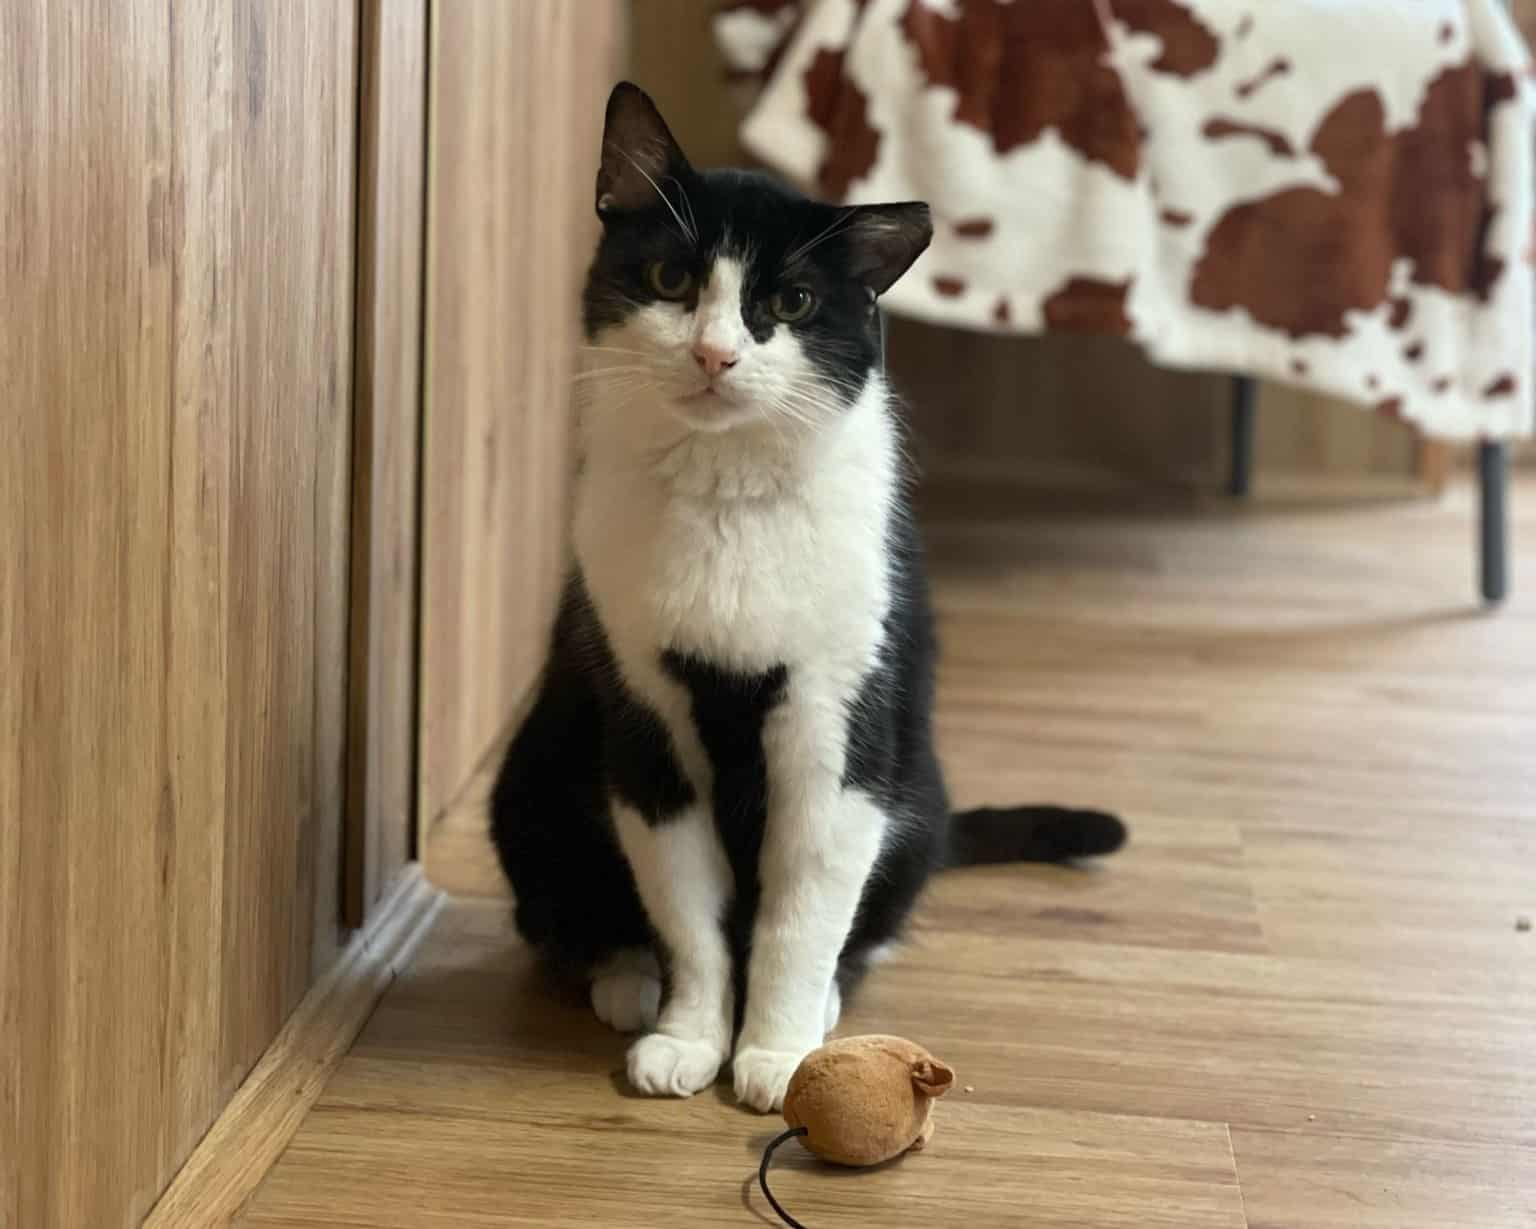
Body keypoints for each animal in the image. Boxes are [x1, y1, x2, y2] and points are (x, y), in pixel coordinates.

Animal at [494, 86, 1130, 1112]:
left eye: (790, 302)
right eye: (670, 277)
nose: (715, 353)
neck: (727, 496)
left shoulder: (838, 724)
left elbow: (802, 914)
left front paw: (781, 1052)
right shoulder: (645, 721)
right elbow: (688, 908)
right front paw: (689, 1035)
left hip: (916, 783)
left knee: (871, 916)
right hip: (534, 772)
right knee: (568, 907)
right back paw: (627, 979)